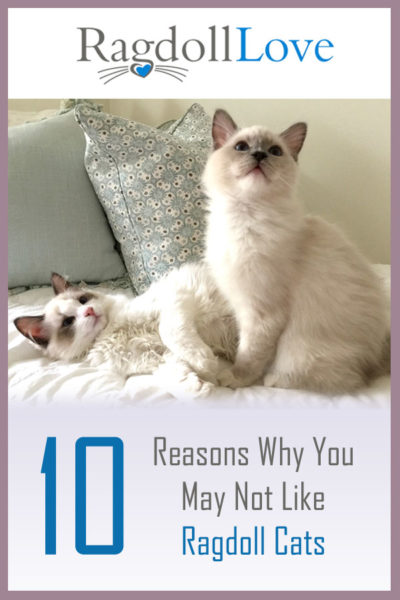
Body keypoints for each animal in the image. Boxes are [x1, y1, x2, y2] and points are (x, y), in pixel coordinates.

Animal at [14, 268, 236, 394]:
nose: (89, 311)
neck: (109, 332)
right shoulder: (156, 358)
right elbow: (171, 375)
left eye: (83, 300)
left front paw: (204, 361)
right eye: (68, 322)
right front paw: (199, 386)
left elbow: (172, 335)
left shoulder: (172, 306)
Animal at [205, 109, 390, 392]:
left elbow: (249, 354)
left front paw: (234, 378)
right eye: (241, 147)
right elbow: (242, 345)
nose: (259, 155)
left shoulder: (263, 312)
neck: (245, 217)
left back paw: (274, 379)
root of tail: (379, 357)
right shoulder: (241, 304)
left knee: (347, 381)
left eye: (274, 151)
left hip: (301, 348)